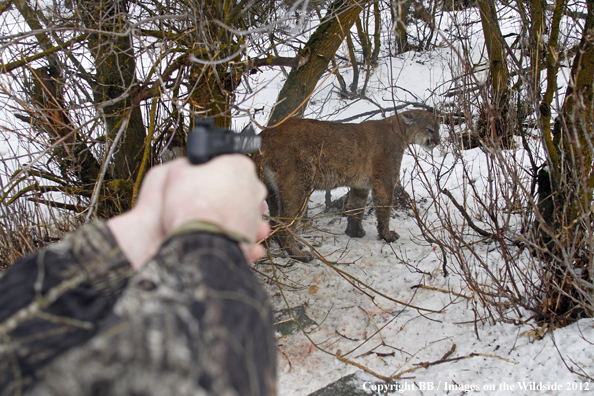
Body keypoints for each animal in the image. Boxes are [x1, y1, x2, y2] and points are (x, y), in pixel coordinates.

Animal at [252, 110, 438, 262]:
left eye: (438, 128)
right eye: (430, 129)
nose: (437, 141)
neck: (400, 133)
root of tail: (265, 134)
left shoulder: (361, 185)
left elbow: (356, 208)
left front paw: (354, 232)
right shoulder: (384, 181)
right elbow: (384, 209)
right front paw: (387, 235)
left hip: (272, 191)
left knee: (274, 222)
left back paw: (295, 246)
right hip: (298, 186)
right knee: (283, 225)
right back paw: (299, 255)